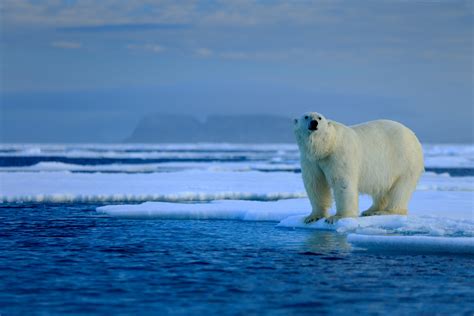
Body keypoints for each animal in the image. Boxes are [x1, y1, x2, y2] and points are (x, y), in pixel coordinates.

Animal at [294, 112, 424, 223]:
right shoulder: (311, 160)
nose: (314, 123)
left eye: (320, 118)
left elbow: (342, 182)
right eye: (306, 117)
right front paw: (313, 217)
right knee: (381, 188)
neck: (327, 147)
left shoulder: (339, 154)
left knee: (400, 189)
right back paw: (370, 210)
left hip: (405, 161)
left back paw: (386, 211)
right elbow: (315, 183)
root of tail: (413, 135)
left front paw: (337, 217)